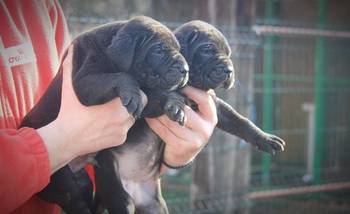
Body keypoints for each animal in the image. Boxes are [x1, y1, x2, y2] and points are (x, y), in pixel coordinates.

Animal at [19, 16, 189, 214]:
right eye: (159, 50)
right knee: (77, 201)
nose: (186, 69)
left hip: (86, 182)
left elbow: (155, 98)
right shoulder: (83, 83)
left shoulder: (147, 97)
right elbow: (119, 76)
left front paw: (175, 104)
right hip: (67, 181)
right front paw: (132, 92)